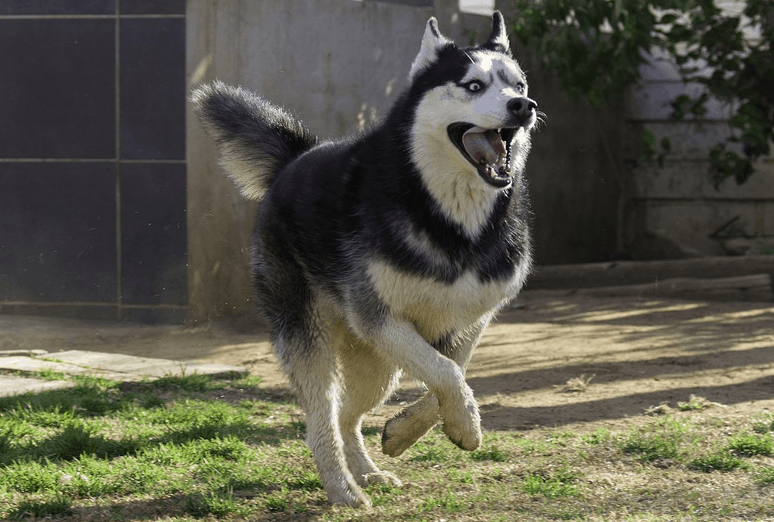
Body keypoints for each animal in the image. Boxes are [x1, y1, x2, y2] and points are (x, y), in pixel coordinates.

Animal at [192, 11, 538, 508]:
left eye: (519, 83)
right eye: (473, 86)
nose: (523, 106)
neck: (448, 217)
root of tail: (296, 157)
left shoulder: (470, 319)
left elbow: (453, 371)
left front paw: (410, 431)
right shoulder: (378, 316)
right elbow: (447, 373)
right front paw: (468, 427)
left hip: (376, 364)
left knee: (345, 415)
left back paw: (367, 472)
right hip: (313, 339)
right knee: (320, 420)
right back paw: (343, 488)